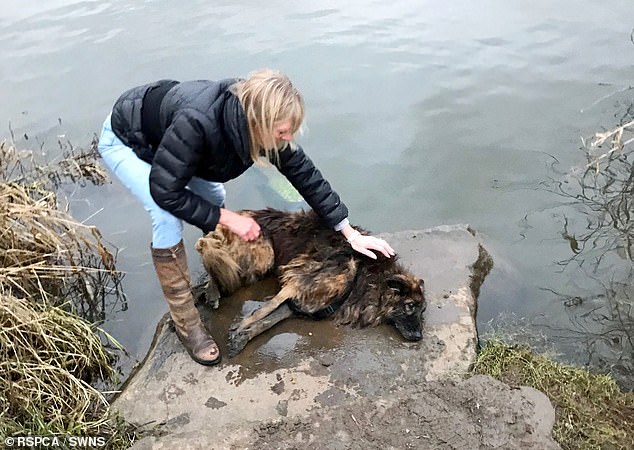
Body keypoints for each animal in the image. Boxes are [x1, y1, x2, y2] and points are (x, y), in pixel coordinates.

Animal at [196, 209, 424, 356]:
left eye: (422, 311)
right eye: (410, 306)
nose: (419, 336)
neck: (365, 275)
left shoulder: (300, 302)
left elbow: (268, 321)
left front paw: (244, 336)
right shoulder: (298, 279)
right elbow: (264, 309)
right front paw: (242, 325)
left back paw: (207, 292)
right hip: (264, 256)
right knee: (209, 251)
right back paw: (212, 290)